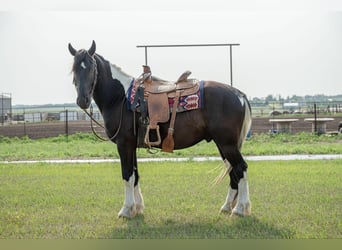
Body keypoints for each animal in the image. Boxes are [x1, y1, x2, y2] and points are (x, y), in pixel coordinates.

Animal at [68, 40, 252, 218]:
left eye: (92, 68)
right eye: (74, 69)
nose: (83, 100)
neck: (120, 98)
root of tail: (239, 94)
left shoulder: (124, 144)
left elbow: (127, 175)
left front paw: (126, 210)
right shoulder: (131, 146)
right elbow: (135, 176)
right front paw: (138, 208)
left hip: (227, 144)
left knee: (241, 168)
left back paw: (240, 208)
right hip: (223, 145)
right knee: (233, 171)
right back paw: (227, 207)